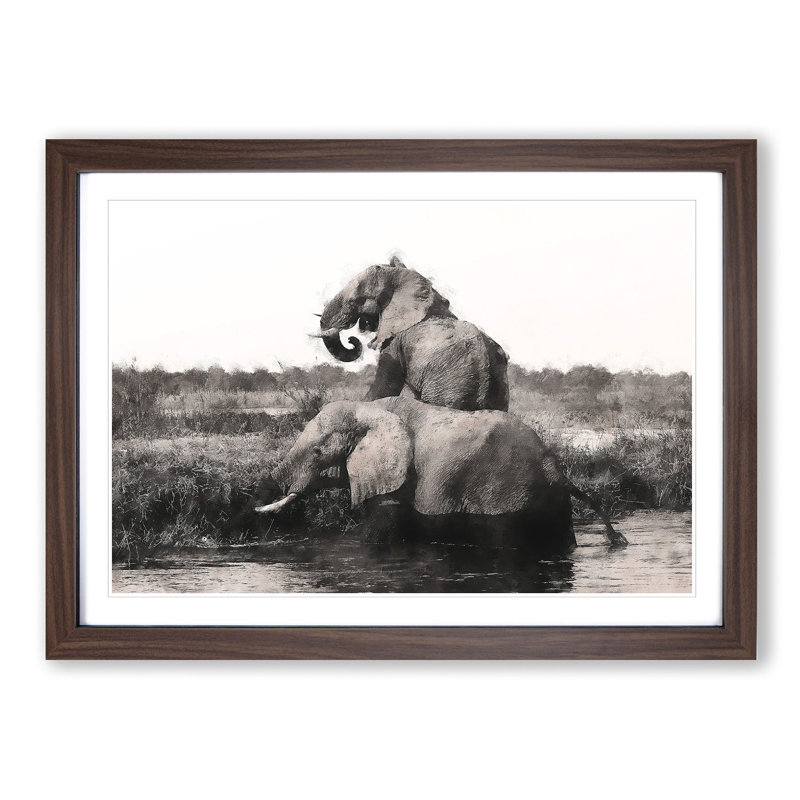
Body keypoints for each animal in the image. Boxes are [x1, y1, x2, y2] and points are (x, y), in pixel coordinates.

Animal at [255, 397, 627, 555]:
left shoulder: (398, 480)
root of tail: (554, 467)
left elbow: (379, 533)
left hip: (507, 497)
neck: (368, 408)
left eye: (319, 453)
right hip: (549, 501)